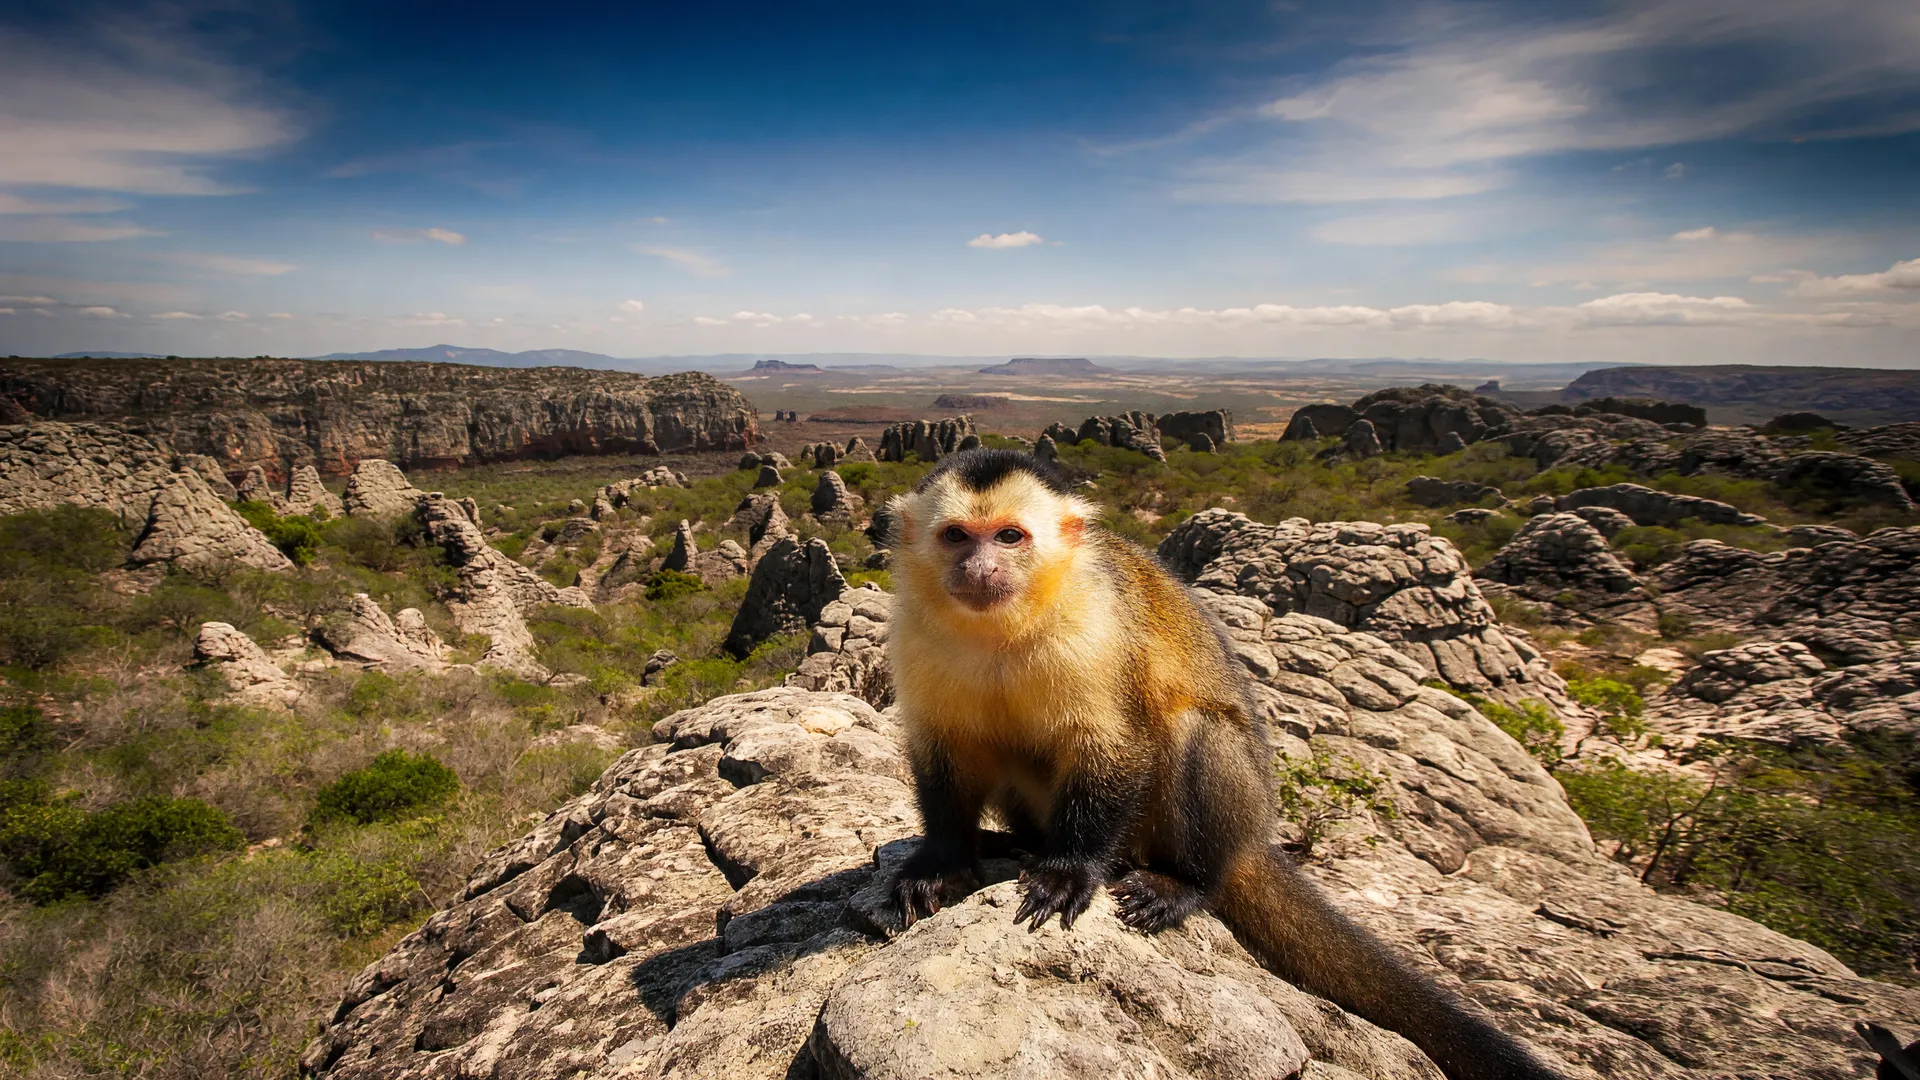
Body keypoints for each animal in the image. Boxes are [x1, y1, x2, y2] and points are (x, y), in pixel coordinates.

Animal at [882, 448, 1565, 1080]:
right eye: (956, 536)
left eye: (1010, 536)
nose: (981, 568)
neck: (1002, 625)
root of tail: (1252, 838)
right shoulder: (915, 632)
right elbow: (944, 752)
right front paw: (943, 864)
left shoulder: (1094, 623)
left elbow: (1117, 745)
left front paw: (1069, 872)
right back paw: (1017, 844)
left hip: (1193, 824)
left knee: (1194, 733)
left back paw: (1183, 884)